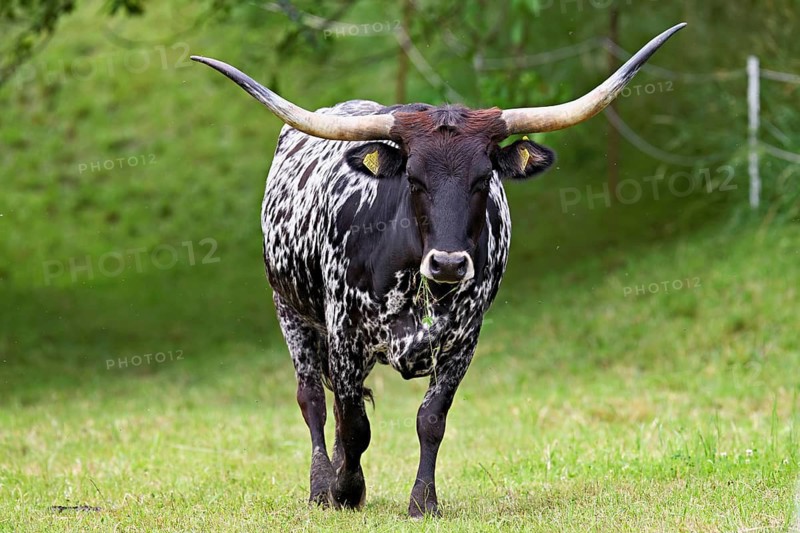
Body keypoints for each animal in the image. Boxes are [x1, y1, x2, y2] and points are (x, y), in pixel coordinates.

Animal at [191, 23, 685, 517]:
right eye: (413, 179)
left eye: (484, 178)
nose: (448, 262)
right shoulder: (346, 334)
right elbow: (354, 424)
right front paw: (344, 490)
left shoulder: (463, 341)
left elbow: (430, 420)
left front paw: (422, 500)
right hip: (291, 312)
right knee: (312, 398)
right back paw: (320, 486)